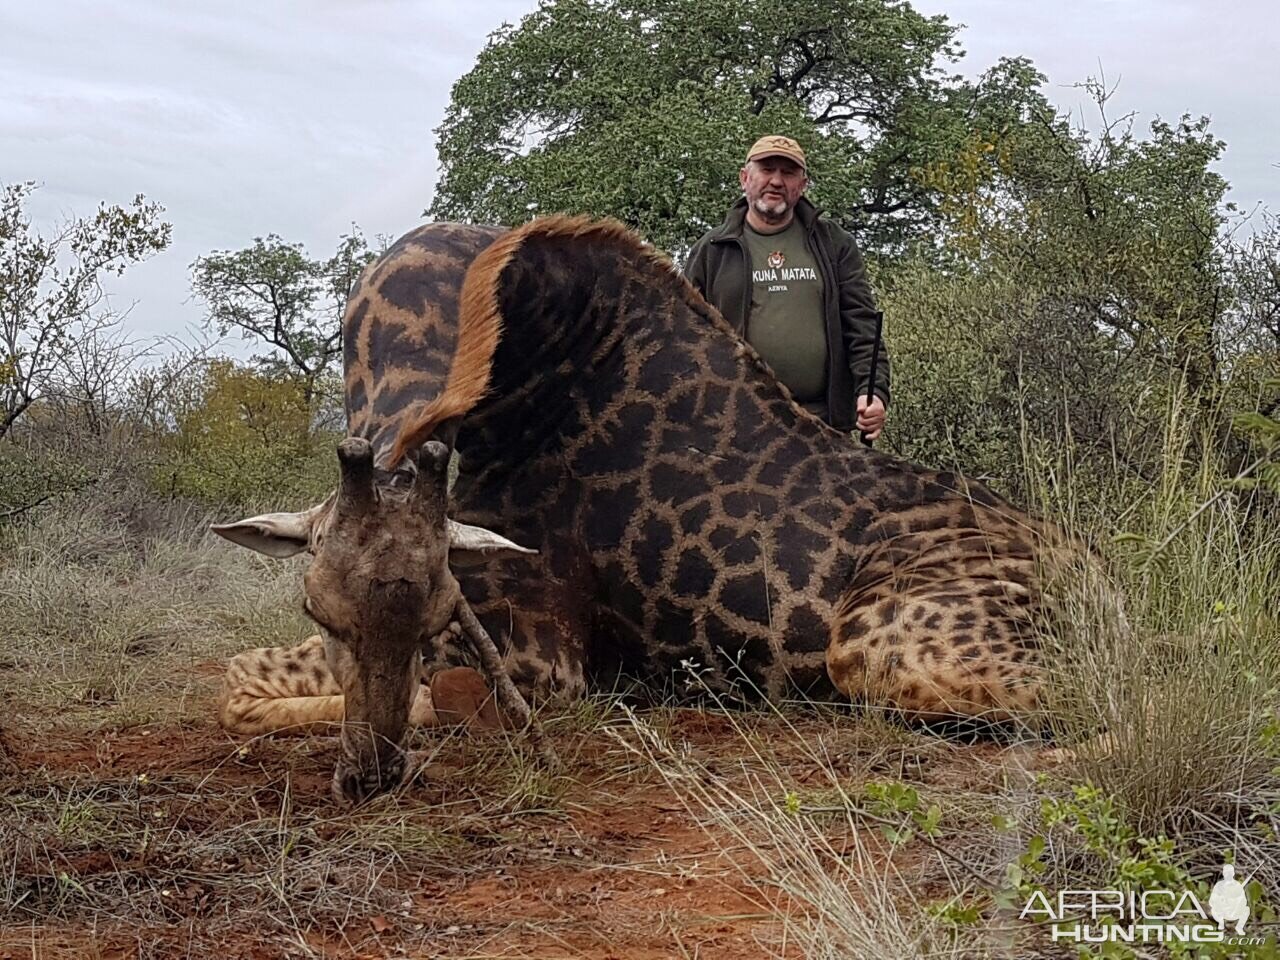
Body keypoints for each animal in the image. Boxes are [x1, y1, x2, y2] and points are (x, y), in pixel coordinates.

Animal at [215, 213, 1116, 798]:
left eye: (440, 610)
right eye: (317, 607)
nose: (370, 777)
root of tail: (1109, 580)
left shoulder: (545, 664)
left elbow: (434, 699)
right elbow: (236, 683)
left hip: (879, 645)